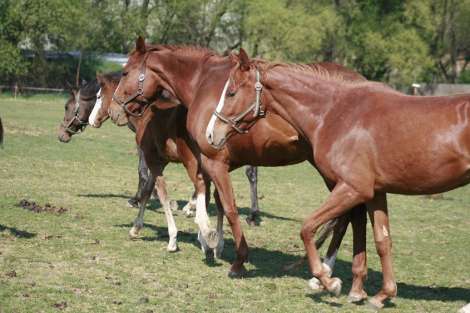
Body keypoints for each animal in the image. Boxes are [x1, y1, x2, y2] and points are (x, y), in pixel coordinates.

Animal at [107, 37, 370, 302]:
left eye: (125, 72)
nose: (114, 111)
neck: (202, 83)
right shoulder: (213, 161)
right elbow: (213, 199)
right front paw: (211, 242)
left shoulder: (212, 160)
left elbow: (227, 207)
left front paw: (231, 255)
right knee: (350, 216)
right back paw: (328, 274)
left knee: (348, 216)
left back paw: (326, 273)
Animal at [209, 50, 470, 308]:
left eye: (231, 92)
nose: (211, 134)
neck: (336, 114)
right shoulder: (375, 193)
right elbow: (382, 240)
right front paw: (382, 294)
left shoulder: (353, 189)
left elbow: (307, 227)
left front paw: (328, 282)